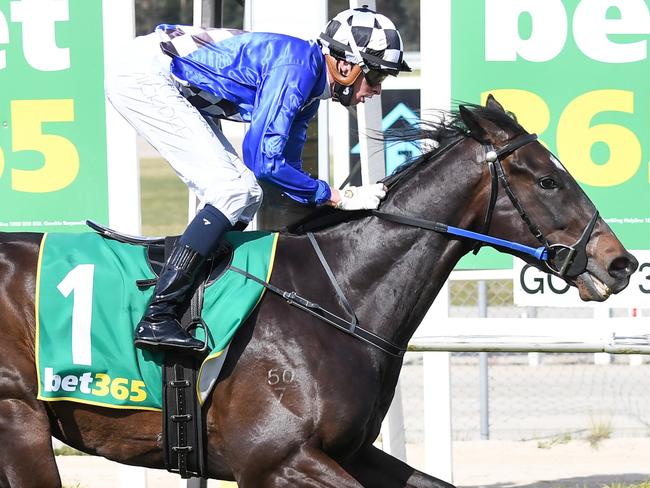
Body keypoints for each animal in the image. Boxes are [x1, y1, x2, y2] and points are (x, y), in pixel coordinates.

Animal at [0, 96, 636, 488]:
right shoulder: (275, 461)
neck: (335, 297)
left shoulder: (349, 451)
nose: (621, 263)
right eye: (548, 179)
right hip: (20, 419)